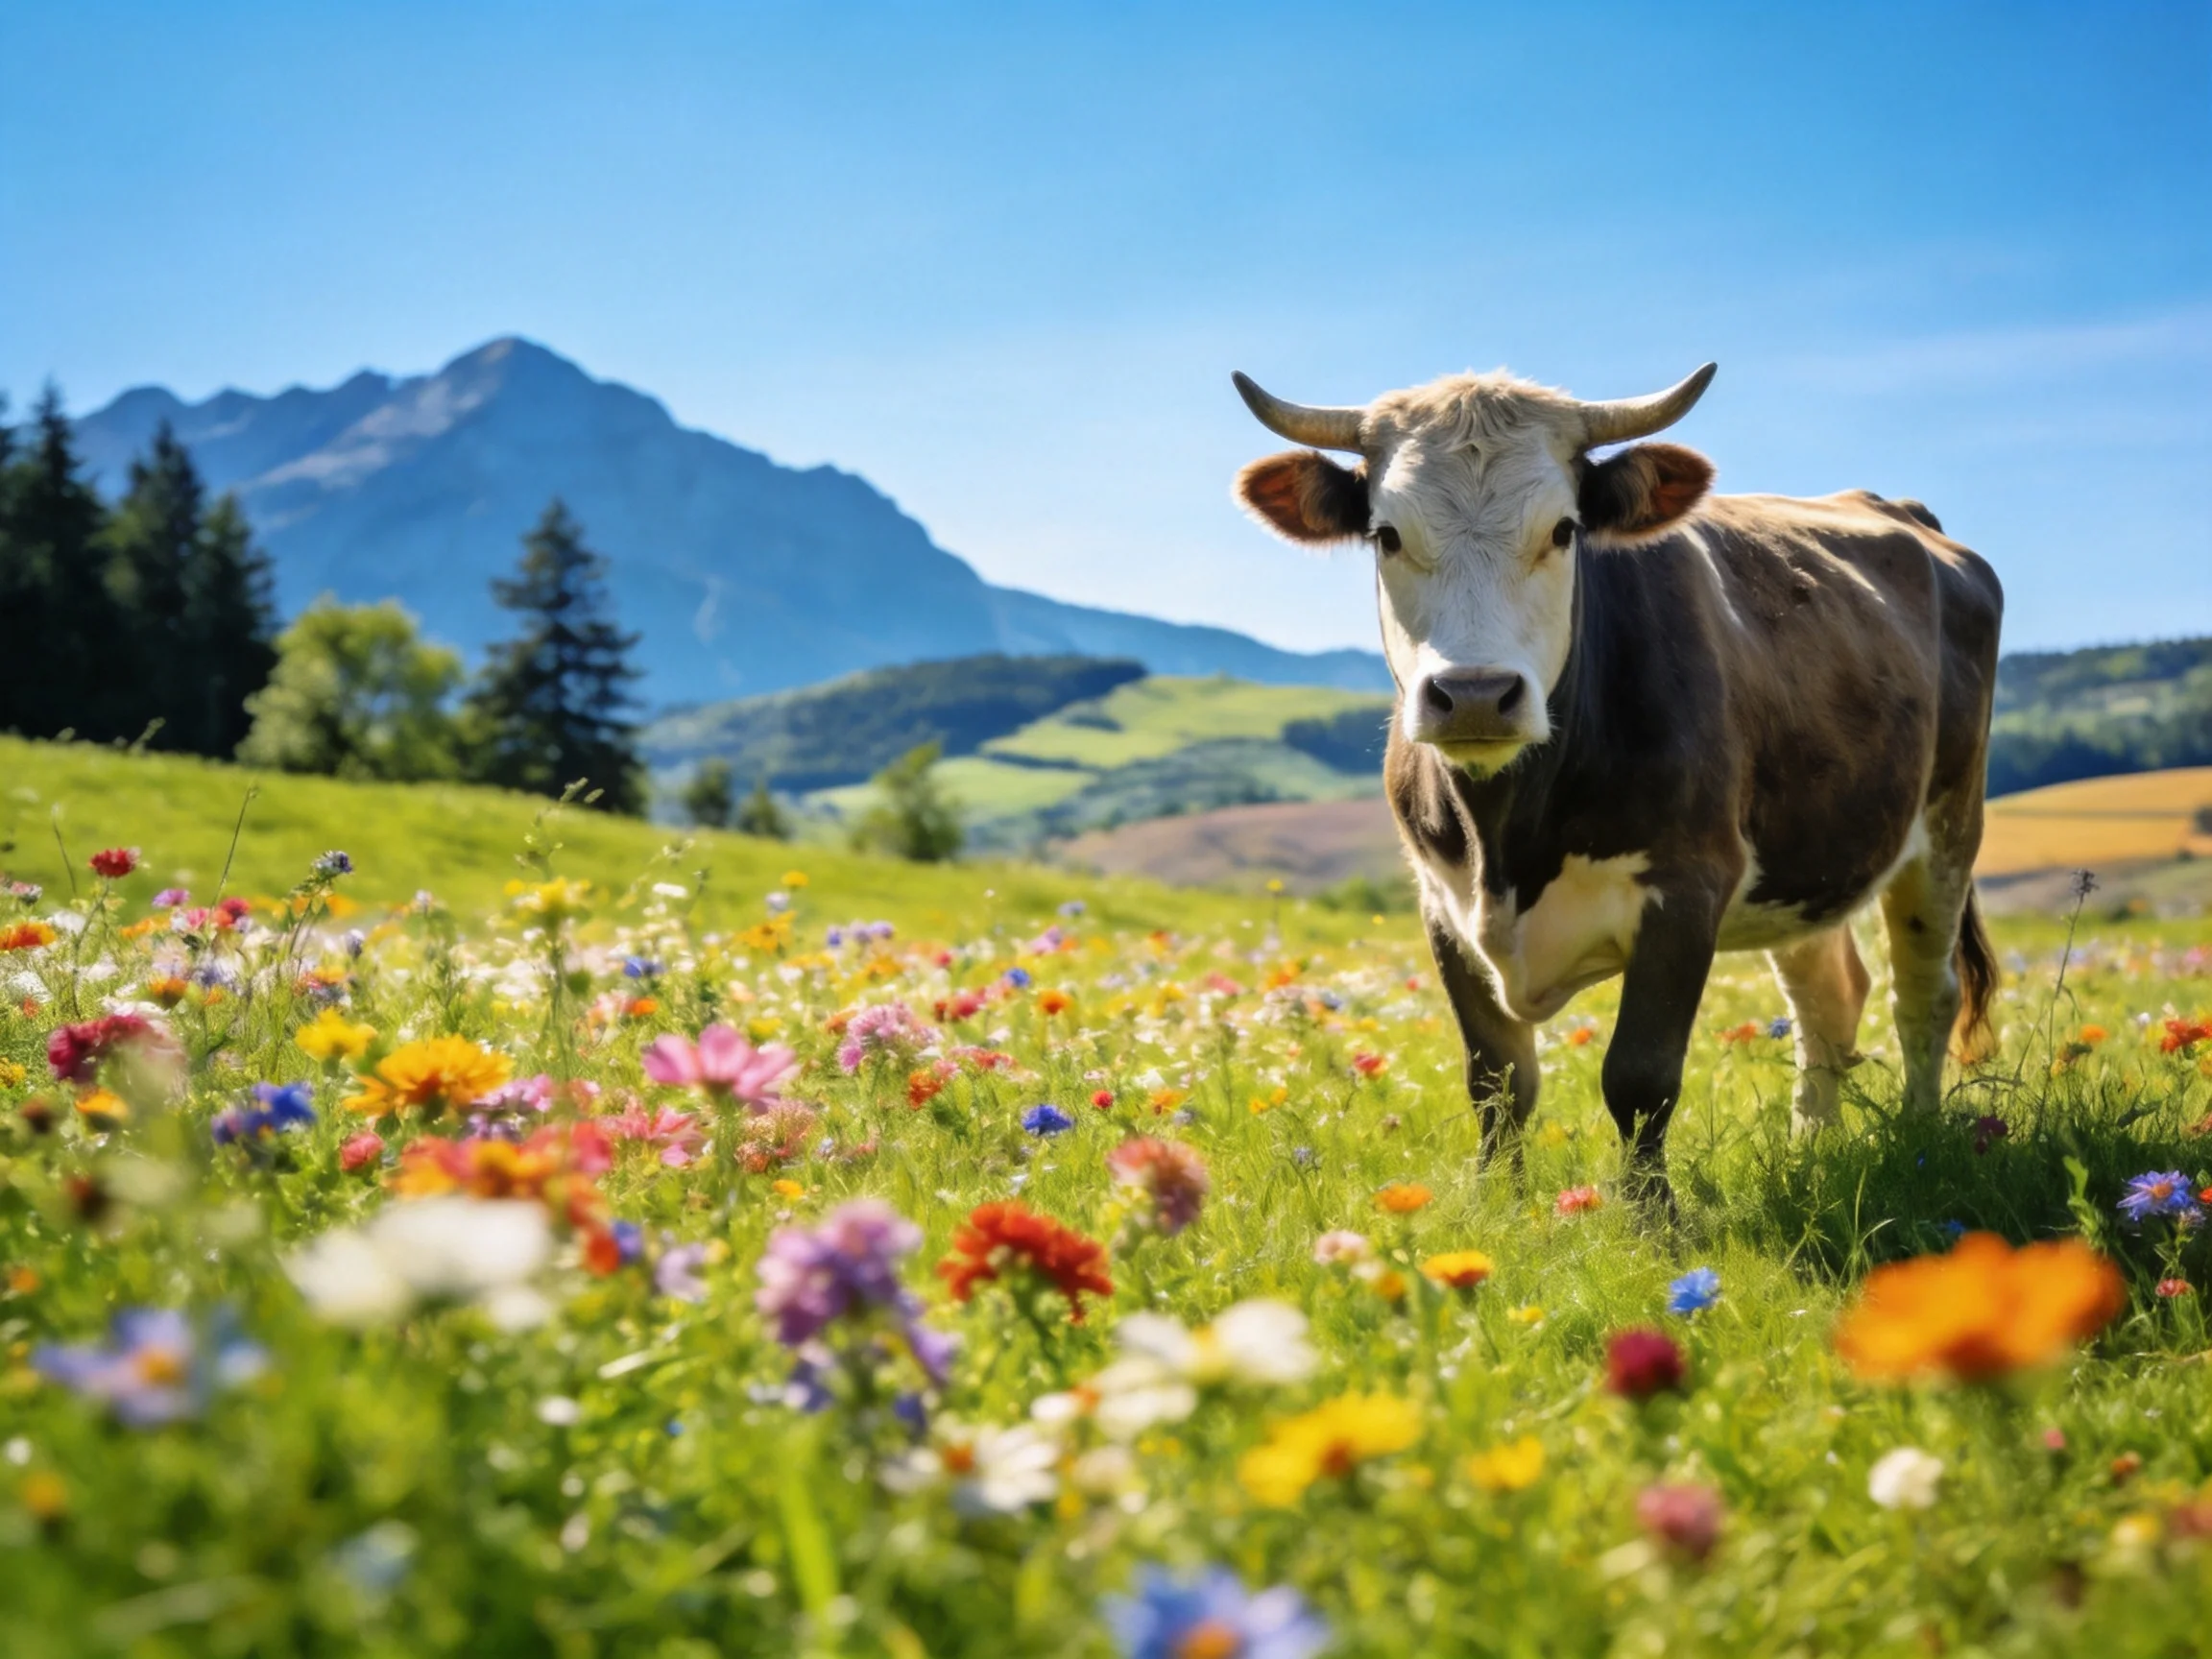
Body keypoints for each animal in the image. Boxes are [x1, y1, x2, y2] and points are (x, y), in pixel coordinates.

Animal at [1230, 362, 2002, 1208]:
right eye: (1386, 534)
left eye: (1565, 530)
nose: (1474, 693)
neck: (1507, 839)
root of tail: (1902, 514)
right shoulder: (1441, 903)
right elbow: (1496, 1078)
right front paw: (1497, 1204)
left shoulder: (1688, 887)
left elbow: (1639, 1076)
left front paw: (1650, 1219)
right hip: (1805, 859)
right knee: (1828, 997)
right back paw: (1812, 1149)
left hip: (1948, 828)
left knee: (1924, 995)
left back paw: (1921, 1139)